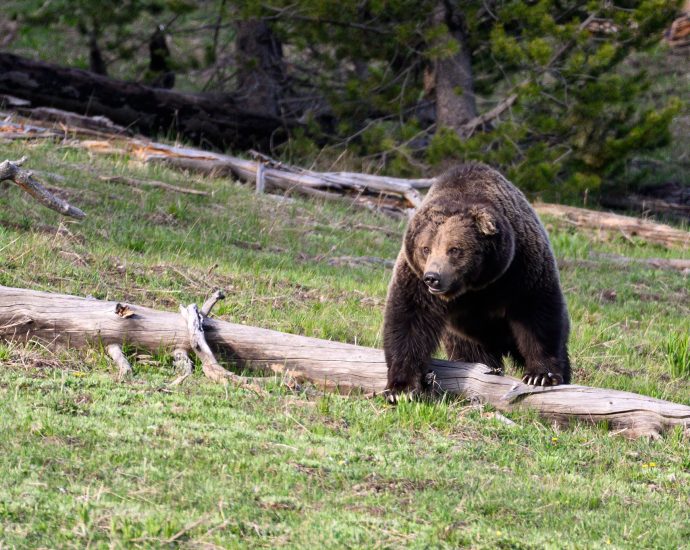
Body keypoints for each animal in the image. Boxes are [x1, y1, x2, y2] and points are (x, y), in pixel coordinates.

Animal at [383, 163, 570, 400]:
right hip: (464, 336)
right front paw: (401, 388)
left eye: (454, 249)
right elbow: (409, 319)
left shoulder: (521, 269)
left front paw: (541, 375)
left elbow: (536, 314)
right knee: (472, 352)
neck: (476, 284)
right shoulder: (416, 281)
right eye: (425, 248)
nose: (433, 278)